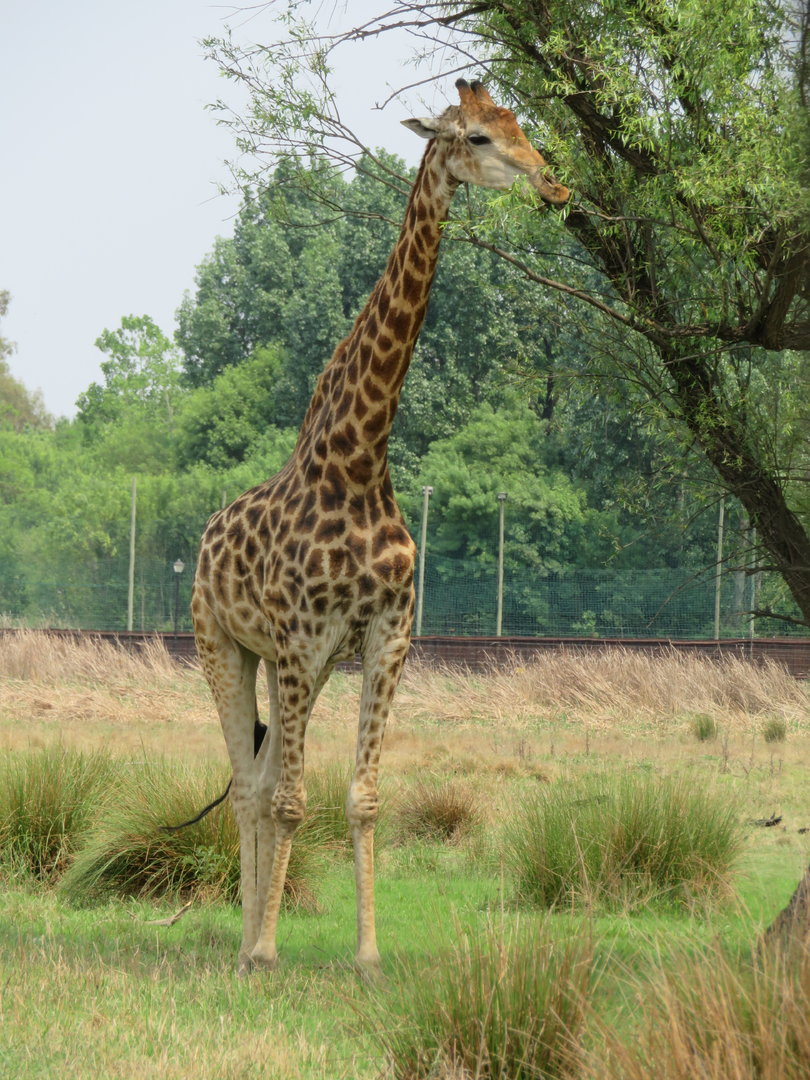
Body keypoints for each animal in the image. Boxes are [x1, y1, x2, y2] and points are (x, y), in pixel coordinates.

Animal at [190, 79, 569, 976]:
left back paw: (250, 929)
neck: (360, 459)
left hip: (297, 661)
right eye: (477, 136)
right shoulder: (299, 639)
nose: (552, 184)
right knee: (248, 786)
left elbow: (361, 798)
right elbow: (294, 802)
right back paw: (247, 943)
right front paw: (268, 953)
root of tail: (205, 537)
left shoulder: (385, 637)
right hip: (222, 645)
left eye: (519, 124)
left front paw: (365, 958)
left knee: (258, 780)